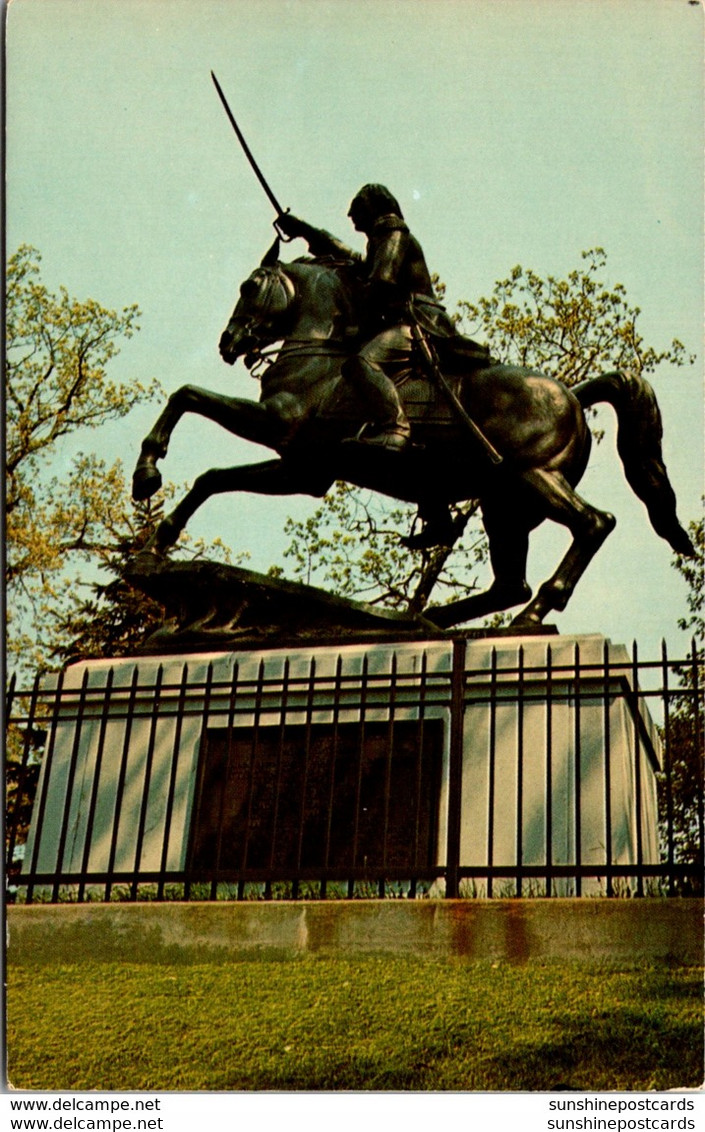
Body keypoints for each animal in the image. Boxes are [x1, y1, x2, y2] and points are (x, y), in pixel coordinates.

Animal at [133, 243, 697, 629]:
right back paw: (418, 621)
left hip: (533, 478)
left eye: (249, 286)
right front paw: (159, 539)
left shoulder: (278, 424)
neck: (320, 352)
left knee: (594, 525)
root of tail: (574, 395)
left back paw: (532, 613)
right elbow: (212, 477)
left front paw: (147, 475)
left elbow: (187, 398)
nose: (229, 343)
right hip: (504, 506)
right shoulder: (303, 469)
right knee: (508, 584)